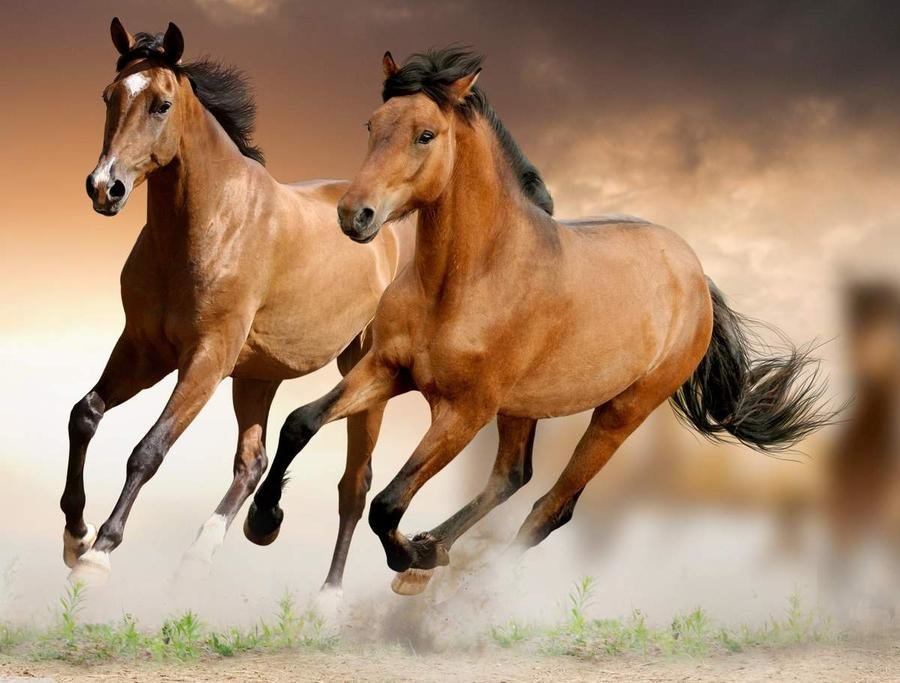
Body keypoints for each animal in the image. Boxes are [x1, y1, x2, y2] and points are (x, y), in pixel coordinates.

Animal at [62, 18, 414, 589]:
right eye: (109, 96)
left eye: (161, 104)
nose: (104, 187)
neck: (211, 223)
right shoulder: (143, 350)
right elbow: (85, 415)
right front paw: (75, 534)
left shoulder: (206, 358)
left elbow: (148, 450)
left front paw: (100, 552)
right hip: (257, 376)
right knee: (252, 462)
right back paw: (213, 547)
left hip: (363, 370)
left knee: (354, 485)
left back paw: (328, 595)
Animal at [243, 47, 833, 596]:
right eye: (372, 124)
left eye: (425, 134)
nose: (354, 216)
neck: (464, 281)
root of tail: (695, 275)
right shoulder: (388, 369)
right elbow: (300, 422)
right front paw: (263, 522)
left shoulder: (464, 412)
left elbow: (388, 503)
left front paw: (410, 556)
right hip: (522, 407)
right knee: (512, 475)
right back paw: (435, 550)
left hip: (620, 412)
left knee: (552, 507)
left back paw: (454, 581)